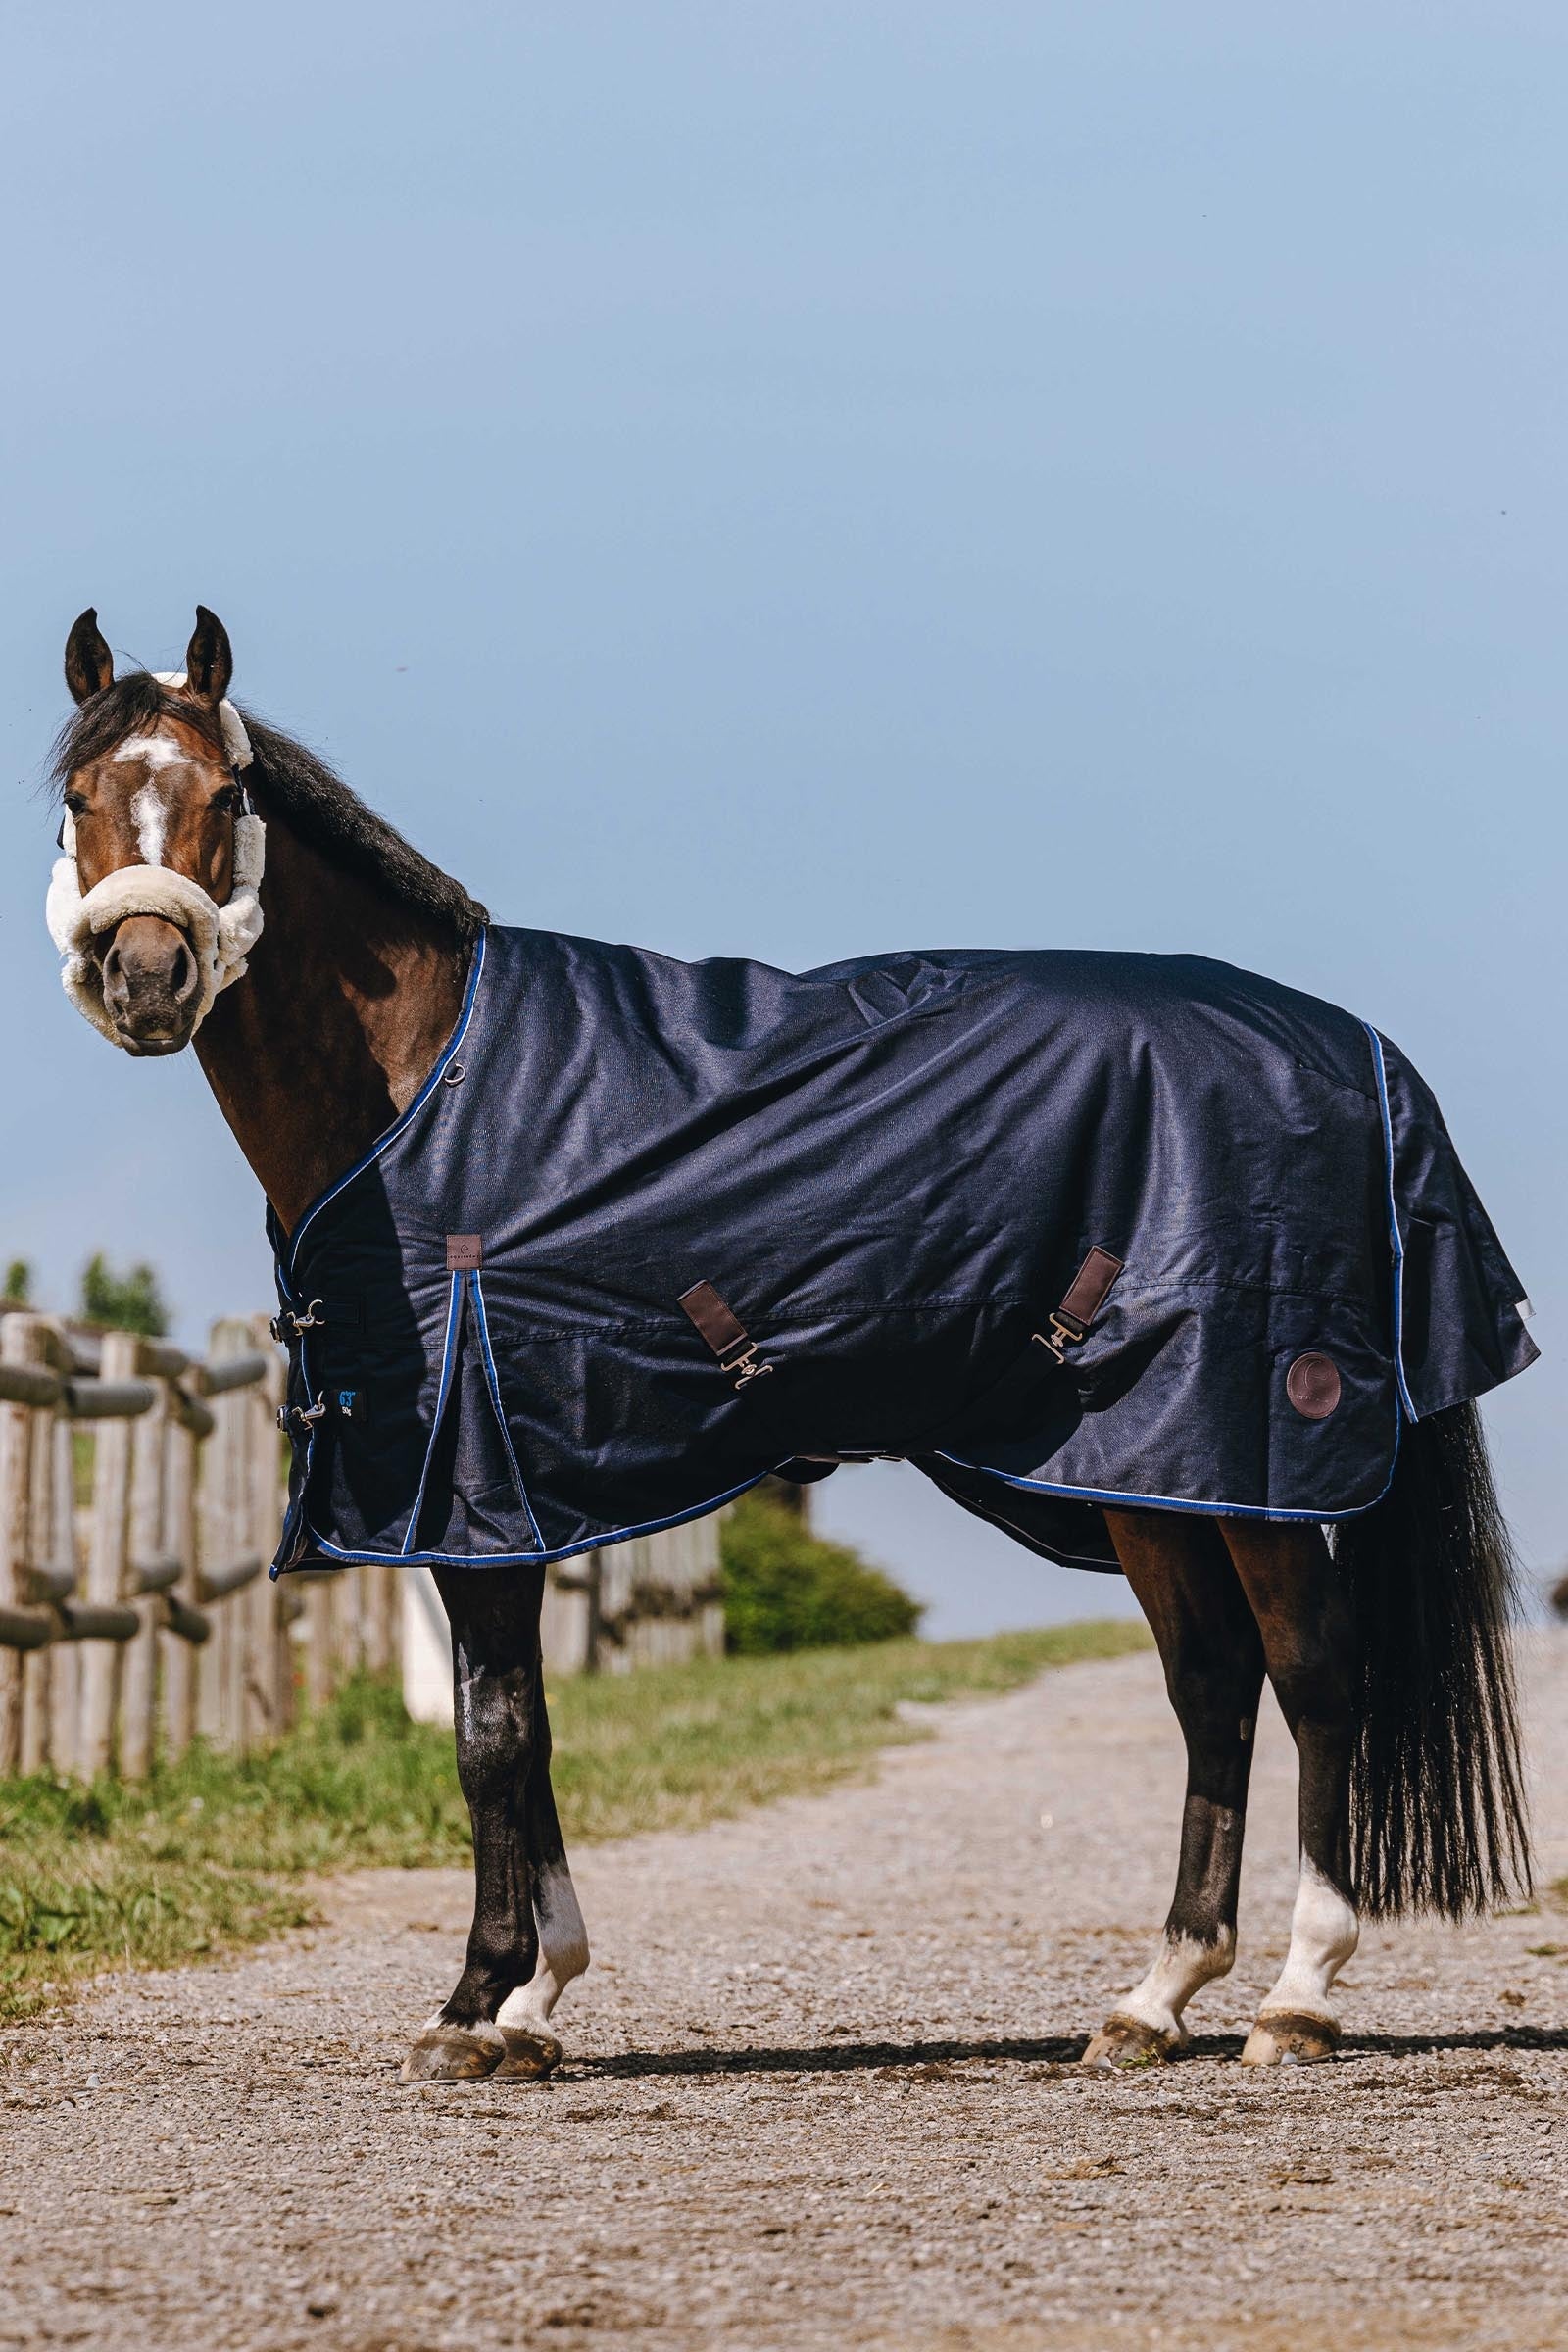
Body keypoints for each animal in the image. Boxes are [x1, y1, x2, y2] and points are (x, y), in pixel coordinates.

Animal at [44, 605, 1535, 2082]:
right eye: (76, 797)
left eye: (223, 797)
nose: (147, 980)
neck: (427, 1088)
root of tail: (1360, 1055)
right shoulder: (510, 1500)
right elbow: (525, 1729)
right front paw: (535, 2001)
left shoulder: (480, 1491)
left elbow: (492, 1735)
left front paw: (477, 2007)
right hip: (1149, 1469)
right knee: (1212, 1686)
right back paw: (1154, 1999)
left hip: (1248, 1454)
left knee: (1315, 1676)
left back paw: (1297, 1998)